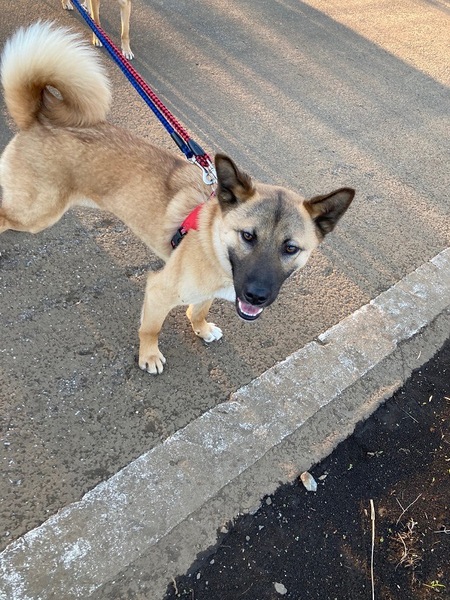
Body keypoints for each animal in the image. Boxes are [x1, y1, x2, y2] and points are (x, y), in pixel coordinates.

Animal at [0, 22, 354, 374]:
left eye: (291, 248)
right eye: (248, 236)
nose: (256, 296)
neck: (213, 244)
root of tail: (38, 117)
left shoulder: (208, 292)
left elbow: (199, 309)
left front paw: (201, 328)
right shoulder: (158, 290)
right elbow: (151, 328)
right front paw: (149, 355)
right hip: (37, 213)